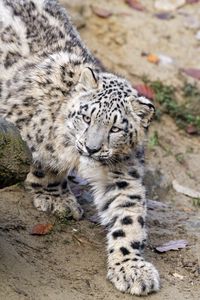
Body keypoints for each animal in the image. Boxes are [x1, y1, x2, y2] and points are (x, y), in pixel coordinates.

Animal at [0, 0, 159, 296]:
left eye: (115, 129)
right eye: (86, 117)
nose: (92, 148)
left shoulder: (122, 173)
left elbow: (129, 218)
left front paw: (132, 268)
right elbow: (42, 165)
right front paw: (55, 197)